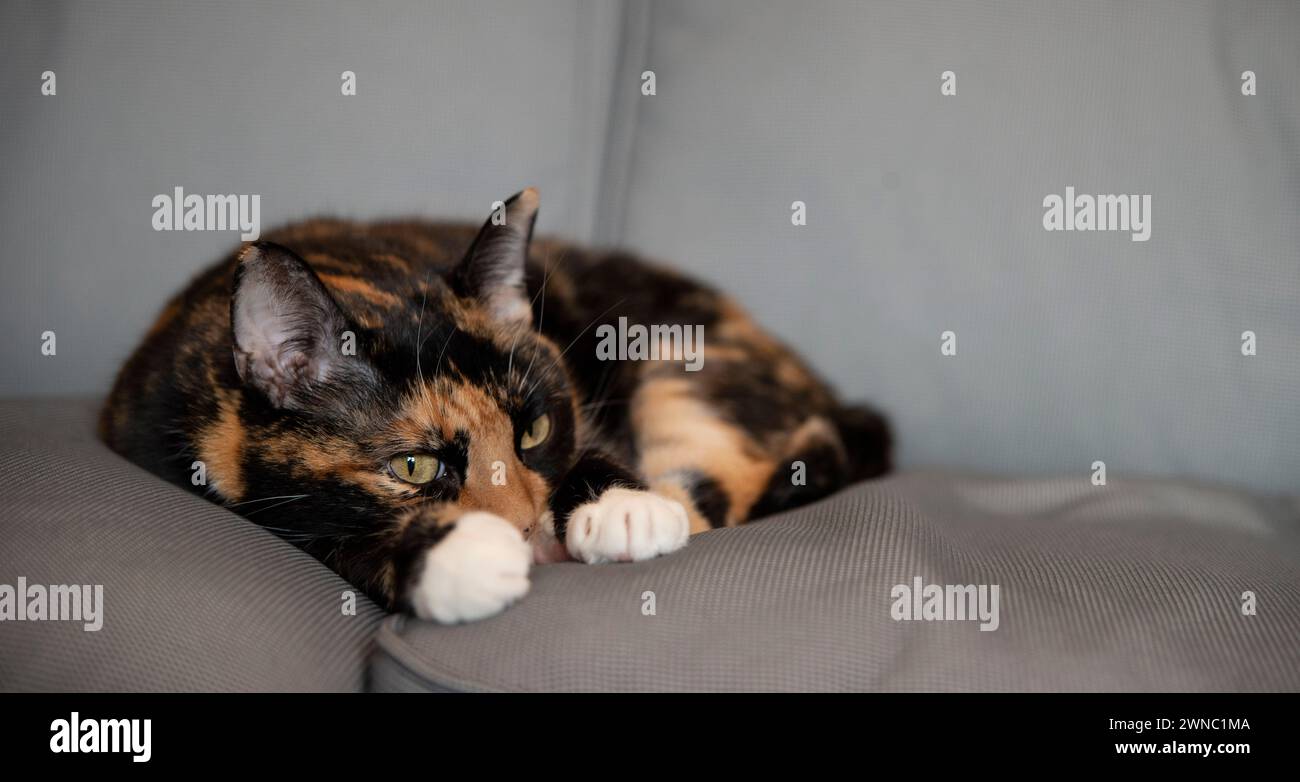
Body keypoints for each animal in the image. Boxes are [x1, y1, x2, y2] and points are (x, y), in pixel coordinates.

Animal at [101, 188, 894, 620]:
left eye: (535, 428)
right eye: (415, 468)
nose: (524, 530)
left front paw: (625, 511)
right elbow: (333, 539)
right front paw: (465, 560)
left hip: (687, 367)